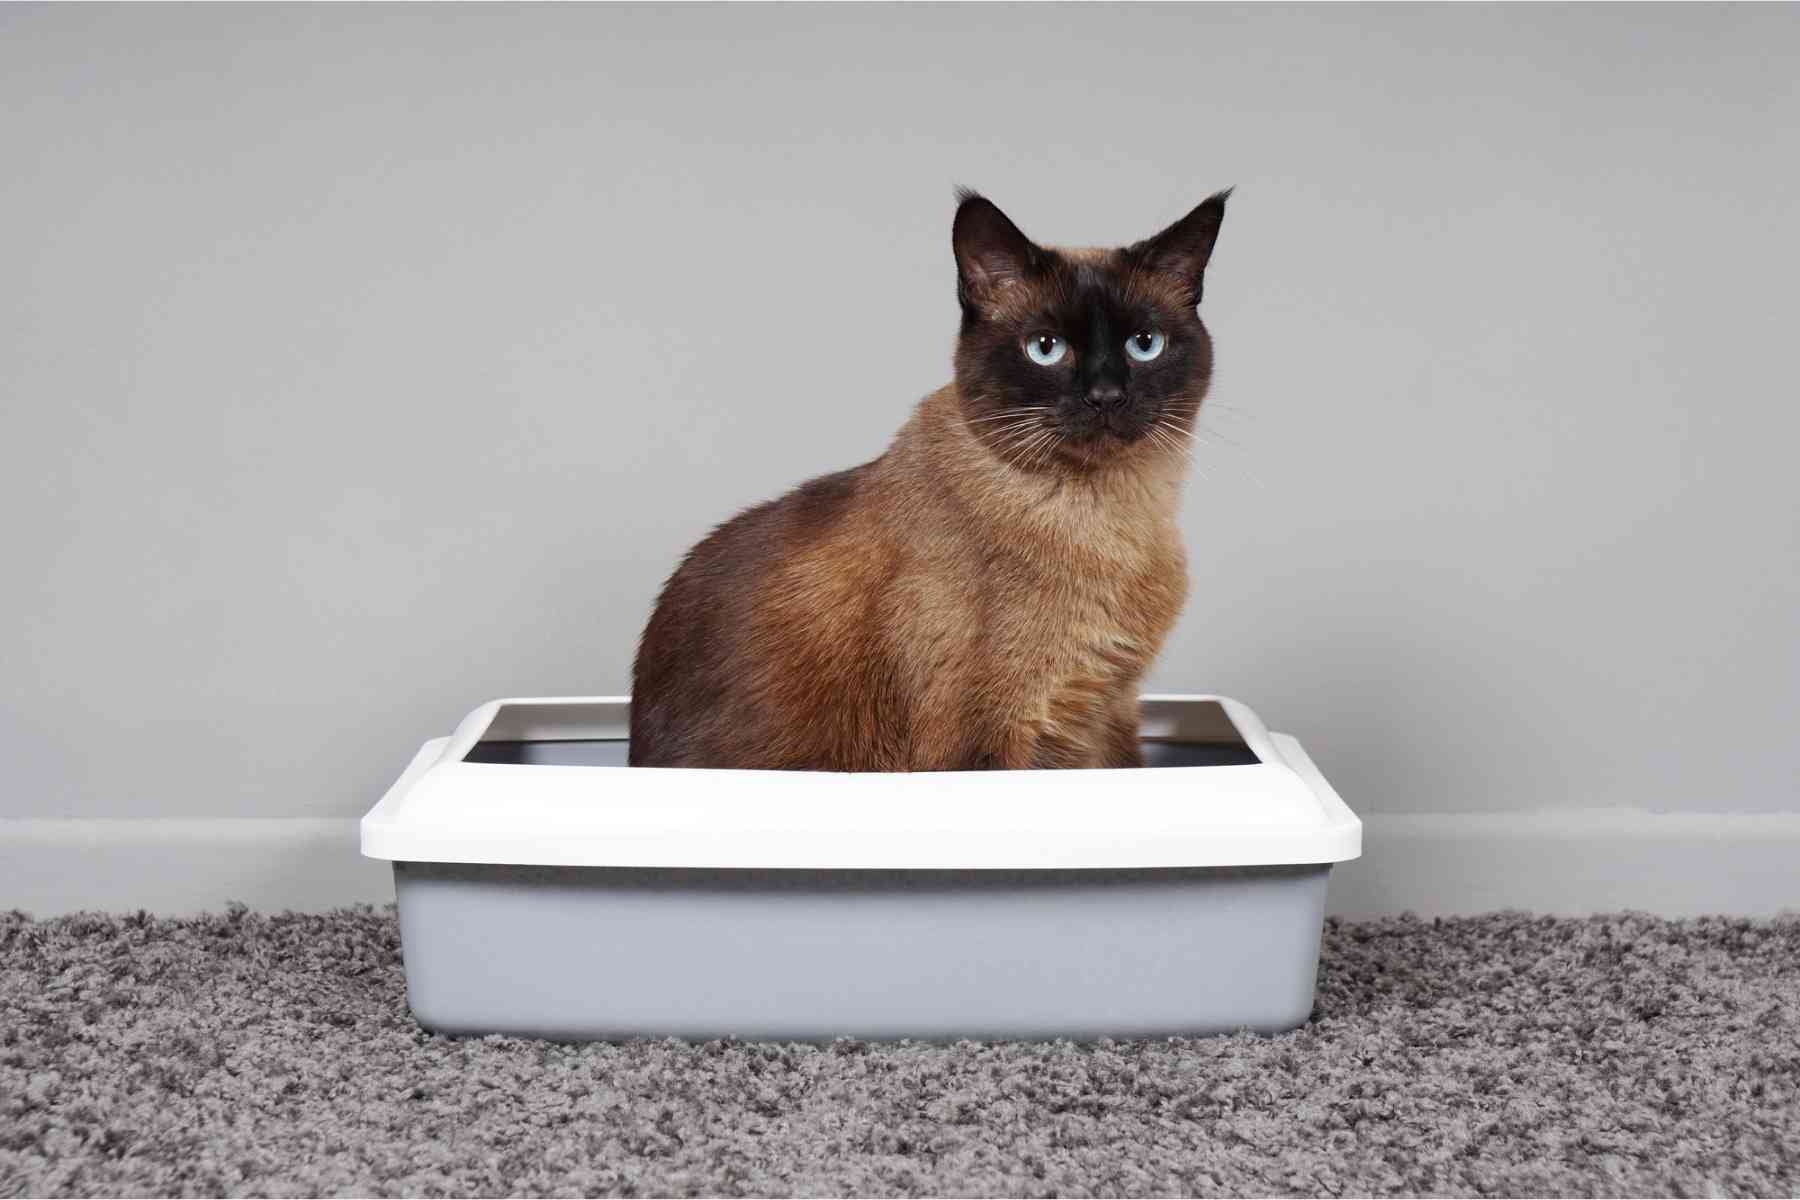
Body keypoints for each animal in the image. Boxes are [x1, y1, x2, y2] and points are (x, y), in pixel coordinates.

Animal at [626, 188, 1231, 770]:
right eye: (1046, 349)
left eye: (1144, 343)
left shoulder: (1109, 713)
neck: (1108, 518)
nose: (1106, 397)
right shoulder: (993, 737)